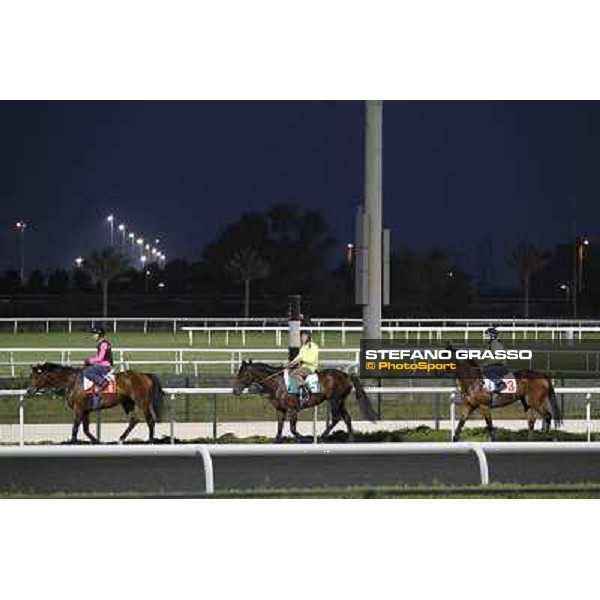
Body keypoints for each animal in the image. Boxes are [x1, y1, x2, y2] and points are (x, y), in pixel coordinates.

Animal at [26, 364, 164, 442]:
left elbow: (75, 428)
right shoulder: (85, 410)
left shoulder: (78, 409)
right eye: (30, 376)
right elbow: (86, 429)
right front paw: (96, 441)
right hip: (127, 402)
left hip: (142, 402)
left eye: (36, 377)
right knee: (134, 420)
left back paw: (150, 440)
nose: (29, 391)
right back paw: (121, 439)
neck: (72, 382)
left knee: (150, 420)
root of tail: (145, 375)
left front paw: (73, 442)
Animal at [232, 358, 378, 442]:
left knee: (337, 418)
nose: (235, 391)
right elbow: (280, 428)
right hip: (340, 401)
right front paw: (277, 441)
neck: (278, 383)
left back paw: (322, 437)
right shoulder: (280, 409)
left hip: (335, 400)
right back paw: (350, 439)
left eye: (244, 374)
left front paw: (305, 438)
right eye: (238, 373)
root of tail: (346, 375)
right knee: (346, 417)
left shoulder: (293, 409)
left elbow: (292, 429)